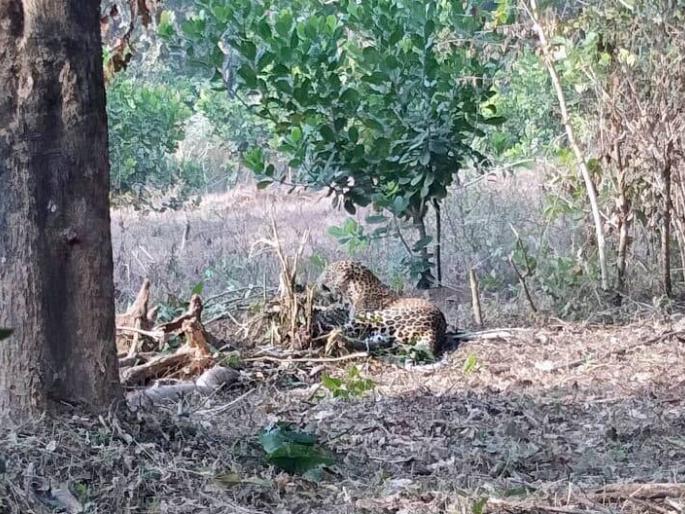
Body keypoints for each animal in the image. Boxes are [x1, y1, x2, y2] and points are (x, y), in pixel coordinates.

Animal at [316, 260, 447, 356]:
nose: (317, 281)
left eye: (328, 272)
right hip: (386, 336)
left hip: (375, 317)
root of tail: (436, 328)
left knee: (340, 331)